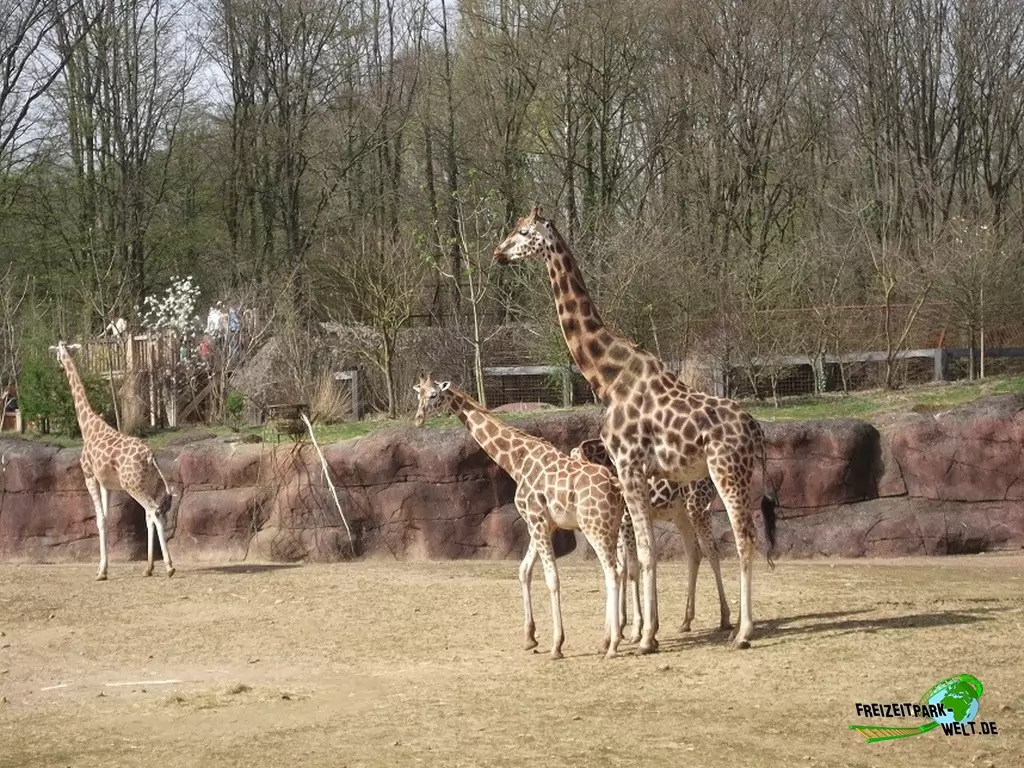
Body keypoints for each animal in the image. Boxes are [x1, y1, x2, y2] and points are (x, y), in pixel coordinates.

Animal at [50, 341, 175, 580]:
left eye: (58, 352)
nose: (58, 364)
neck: (88, 427)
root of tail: (150, 457)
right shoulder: (107, 484)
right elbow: (106, 519)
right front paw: (104, 568)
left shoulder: (89, 476)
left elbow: (99, 520)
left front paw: (101, 572)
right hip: (145, 484)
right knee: (150, 514)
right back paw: (148, 568)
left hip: (132, 485)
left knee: (154, 511)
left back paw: (170, 567)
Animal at [412, 373, 626, 659]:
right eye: (419, 394)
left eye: (434, 395)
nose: (418, 419)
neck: (516, 461)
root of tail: (615, 486)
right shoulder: (542, 524)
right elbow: (524, 570)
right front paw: (529, 638)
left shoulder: (536, 520)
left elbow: (551, 579)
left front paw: (556, 645)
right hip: (610, 527)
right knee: (619, 570)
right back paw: (609, 639)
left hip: (595, 527)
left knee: (612, 572)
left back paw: (612, 645)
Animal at [494, 207, 778, 650]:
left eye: (523, 232)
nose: (498, 253)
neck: (609, 377)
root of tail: (756, 430)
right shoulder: (637, 472)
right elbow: (640, 556)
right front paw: (643, 632)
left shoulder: (628, 465)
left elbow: (640, 555)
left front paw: (642, 636)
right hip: (727, 479)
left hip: (726, 471)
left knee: (742, 540)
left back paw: (742, 632)